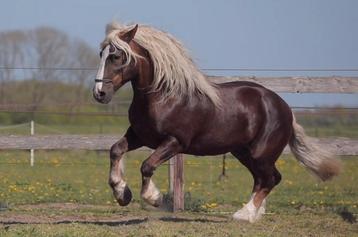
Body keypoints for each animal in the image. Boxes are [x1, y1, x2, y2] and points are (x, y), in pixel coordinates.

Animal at [91, 21, 340, 222]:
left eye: (116, 56)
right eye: (101, 54)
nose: (99, 93)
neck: (163, 96)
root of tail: (285, 107)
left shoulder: (174, 142)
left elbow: (147, 165)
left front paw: (155, 198)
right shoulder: (139, 135)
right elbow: (115, 150)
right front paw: (122, 193)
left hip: (261, 153)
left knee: (269, 179)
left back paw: (244, 215)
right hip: (244, 153)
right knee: (266, 179)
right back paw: (254, 214)